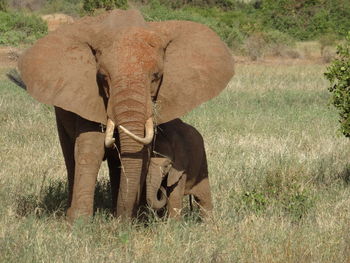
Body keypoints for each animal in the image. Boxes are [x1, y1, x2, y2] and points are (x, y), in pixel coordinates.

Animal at [12, 8, 234, 223]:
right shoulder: (88, 94)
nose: (121, 224)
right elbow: (91, 147)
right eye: (102, 77)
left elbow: (141, 152)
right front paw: (79, 224)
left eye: (156, 77)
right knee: (70, 155)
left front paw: (131, 220)